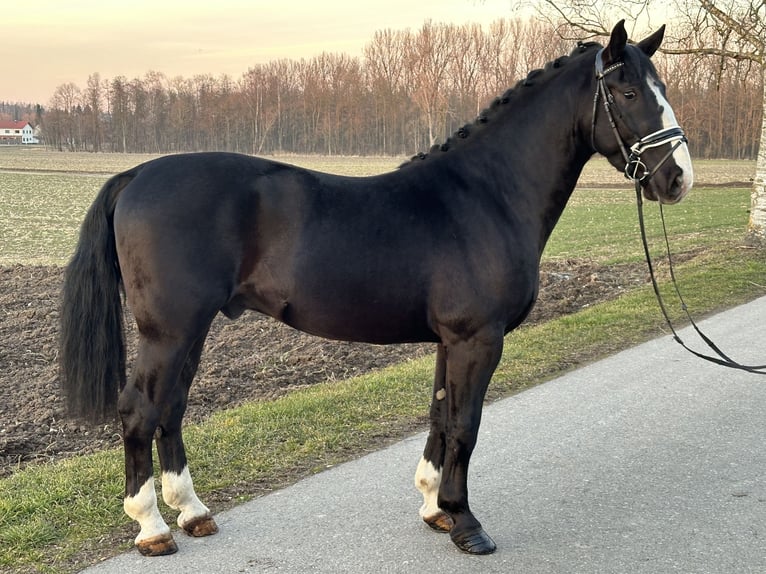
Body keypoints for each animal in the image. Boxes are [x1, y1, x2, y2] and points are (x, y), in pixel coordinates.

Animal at [60, 22, 696, 560]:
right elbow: (466, 423)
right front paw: (466, 523)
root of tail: (137, 174)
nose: (678, 178)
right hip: (169, 330)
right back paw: (151, 527)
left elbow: (440, 415)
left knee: (171, 408)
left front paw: (434, 508)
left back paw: (191, 512)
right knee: (138, 410)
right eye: (629, 92)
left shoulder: (451, 341)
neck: (486, 194)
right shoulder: (477, 339)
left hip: (191, 330)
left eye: (661, 87)